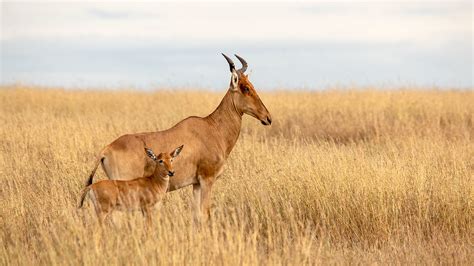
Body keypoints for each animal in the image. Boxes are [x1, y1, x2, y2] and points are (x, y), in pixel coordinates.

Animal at [85, 54, 270, 222]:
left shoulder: (196, 183)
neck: (212, 128)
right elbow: (206, 214)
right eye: (245, 88)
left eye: (251, 85)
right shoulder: (207, 179)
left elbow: (197, 215)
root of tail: (106, 150)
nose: (267, 118)